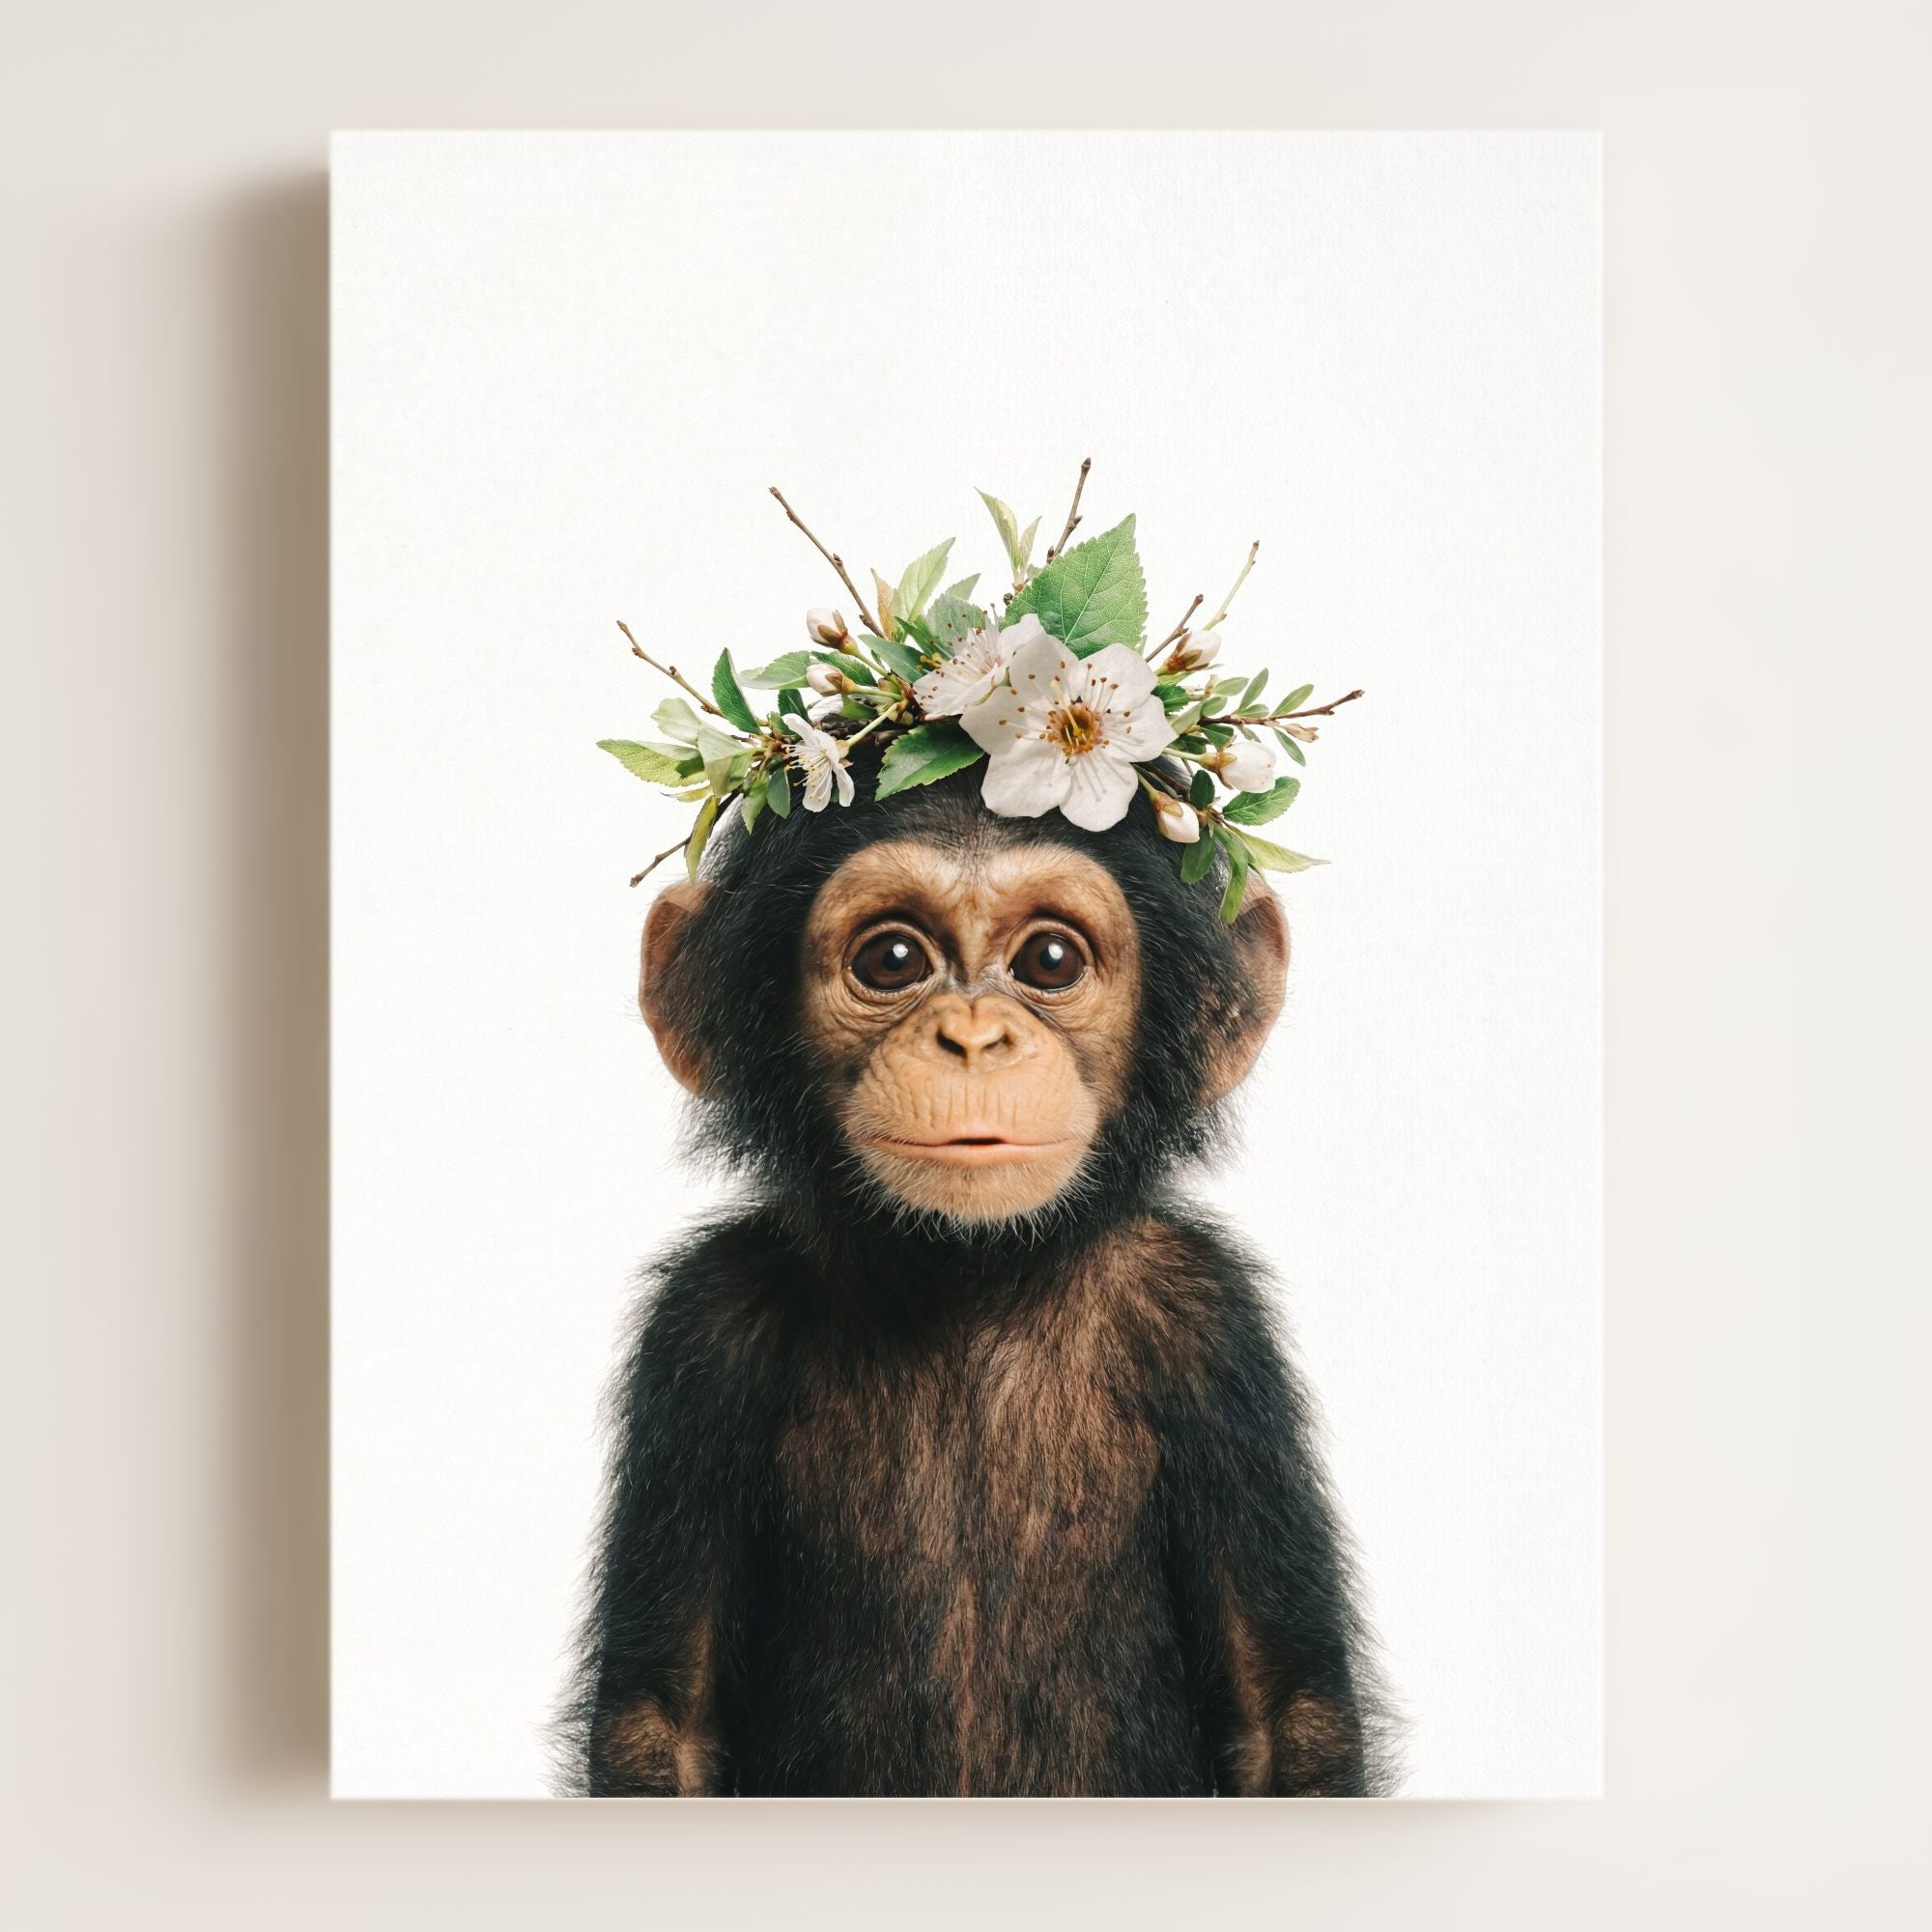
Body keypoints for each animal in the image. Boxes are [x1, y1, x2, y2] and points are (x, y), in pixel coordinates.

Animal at [560, 741, 1398, 1797]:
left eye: (1049, 960)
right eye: (892, 960)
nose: (971, 1036)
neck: (966, 1276)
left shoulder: (1211, 1324)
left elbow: (1282, 1713)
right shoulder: (702, 1328)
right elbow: (662, 1718)